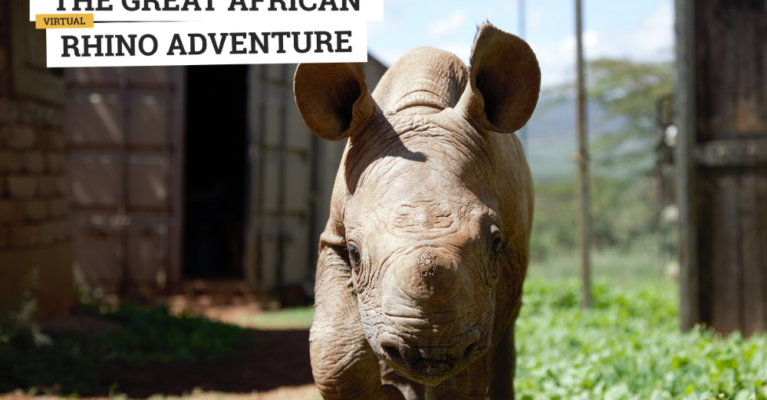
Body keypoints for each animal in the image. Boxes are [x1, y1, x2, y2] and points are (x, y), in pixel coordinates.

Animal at [292, 23, 540, 398]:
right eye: (354, 253)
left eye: (495, 244)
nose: (430, 351)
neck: (422, 110)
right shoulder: (334, 235)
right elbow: (335, 355)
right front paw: (390, 390)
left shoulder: (496, 278)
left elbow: (463, 379)